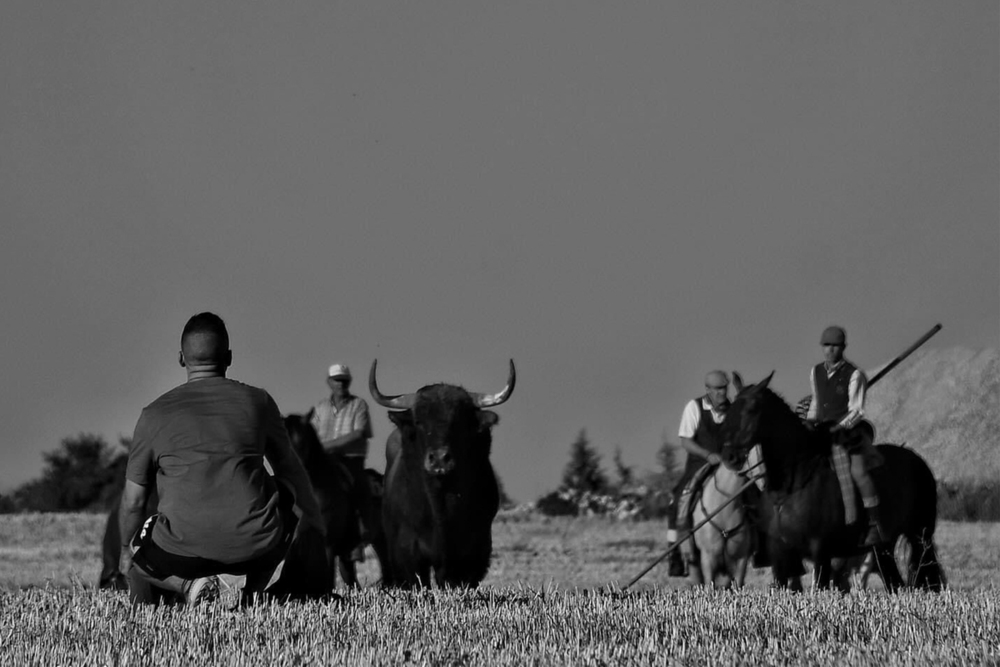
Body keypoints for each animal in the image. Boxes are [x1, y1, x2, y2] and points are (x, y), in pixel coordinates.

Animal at [720, 374, 944, 592]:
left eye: (751, 409)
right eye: (731, 409)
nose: (729, 456)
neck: (792, 485)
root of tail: (916, 460)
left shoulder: (821, 551)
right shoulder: (781, 555)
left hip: (919, 535)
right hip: (883, 549)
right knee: (895, 584)